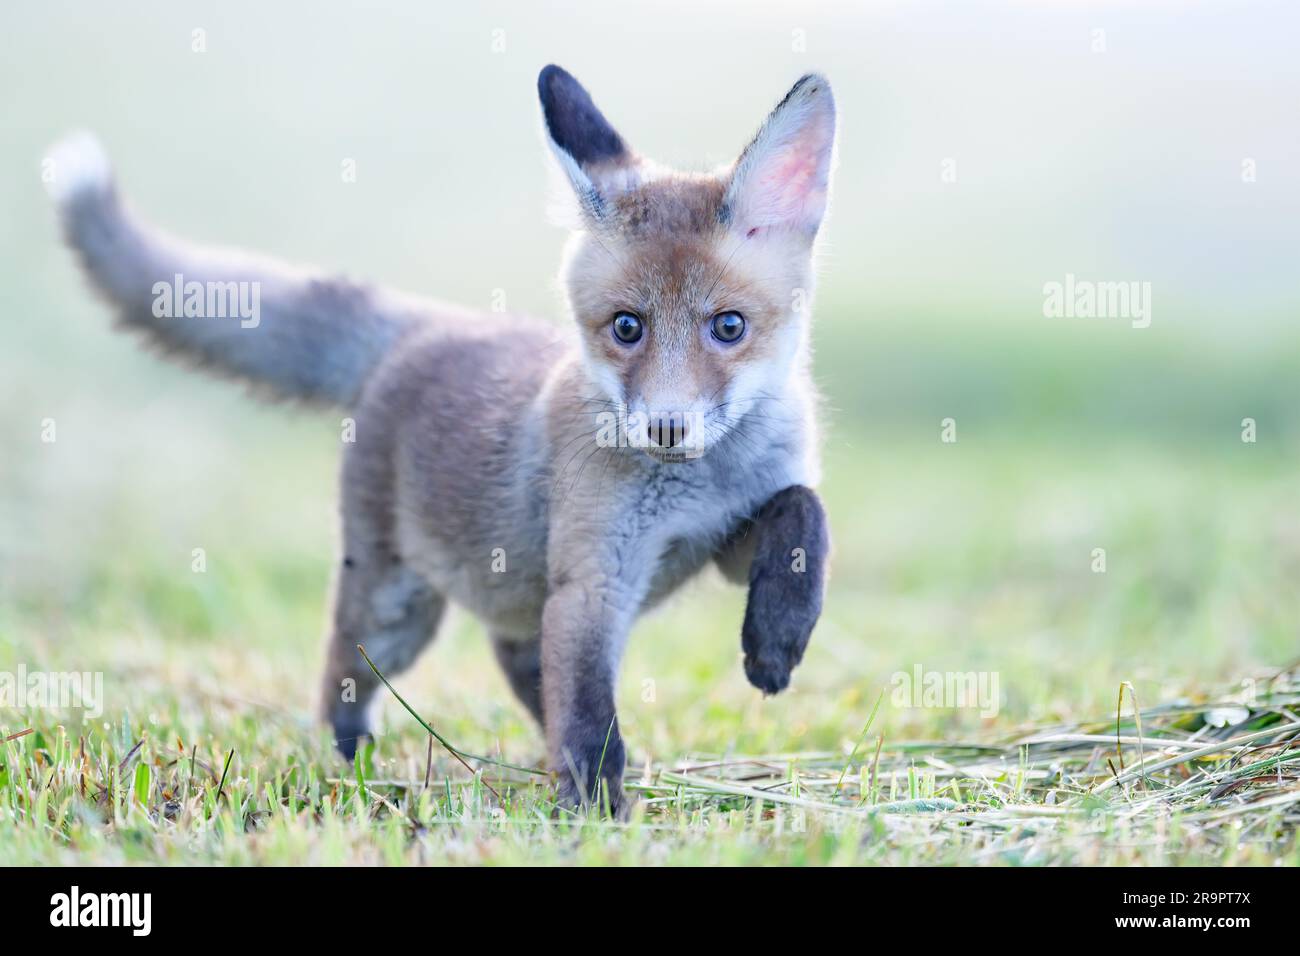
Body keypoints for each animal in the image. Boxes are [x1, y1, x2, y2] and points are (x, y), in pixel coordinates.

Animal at [45, 65, 832, 816]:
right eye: (626, 326)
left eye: (728, 326)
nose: (667, 427)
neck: (702, 483)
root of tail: (421, 323)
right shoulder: (595, 582)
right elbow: (586, 716)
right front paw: (599, 817)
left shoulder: (719, 540)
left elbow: (802, 511)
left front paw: (776, 641)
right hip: (396, 609)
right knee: (343, 676)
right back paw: (353, 770)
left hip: (504, 593)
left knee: (515, 656)